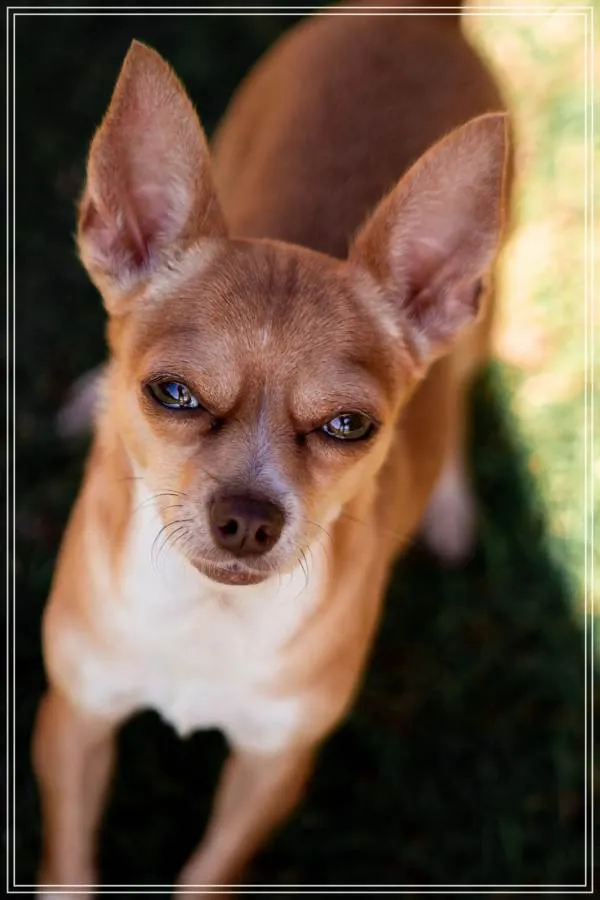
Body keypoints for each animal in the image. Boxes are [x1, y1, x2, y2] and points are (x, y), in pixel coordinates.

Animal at [33, 1, 511, 895]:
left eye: (350, 426)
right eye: (171, 393)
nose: (249, 518)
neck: (208, 614)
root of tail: (421, 17)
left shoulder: (270, 769)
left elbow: (207, 874)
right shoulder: (76, 718)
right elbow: (70, 866)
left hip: (479, 328)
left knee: (461, 397)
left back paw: (452, 507)